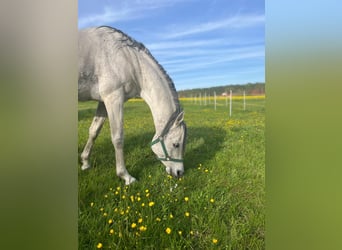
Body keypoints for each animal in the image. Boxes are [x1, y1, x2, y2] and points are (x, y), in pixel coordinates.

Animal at [78, 26, 187, 185]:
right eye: (176, 145)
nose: (179, 173)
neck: (129, 59)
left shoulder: (104, 102)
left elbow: (93, 131)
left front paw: (85, 162)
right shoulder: (114, 98)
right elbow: (117, 138)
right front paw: (125, 176)